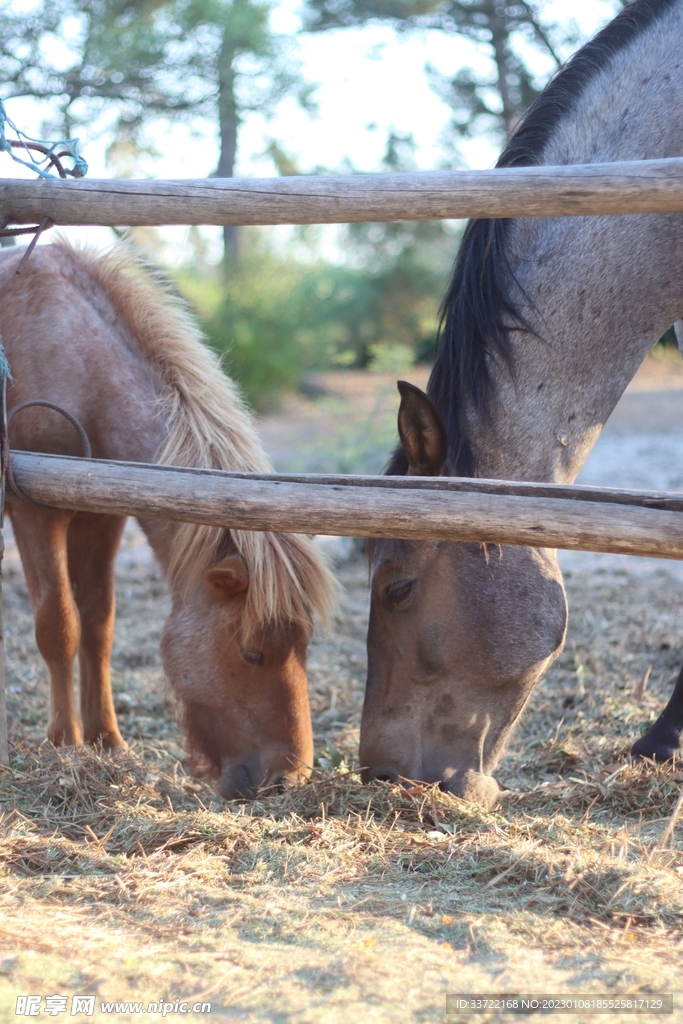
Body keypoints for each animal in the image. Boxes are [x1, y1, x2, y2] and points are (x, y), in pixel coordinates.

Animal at [0, 241, 335, 799]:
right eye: (251, 654)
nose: (288, 778)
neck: (66, 355)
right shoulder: (33, 514)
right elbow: (60, 625)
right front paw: (65, 743)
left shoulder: (101, 519)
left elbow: (98, 625)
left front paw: (108, 741)